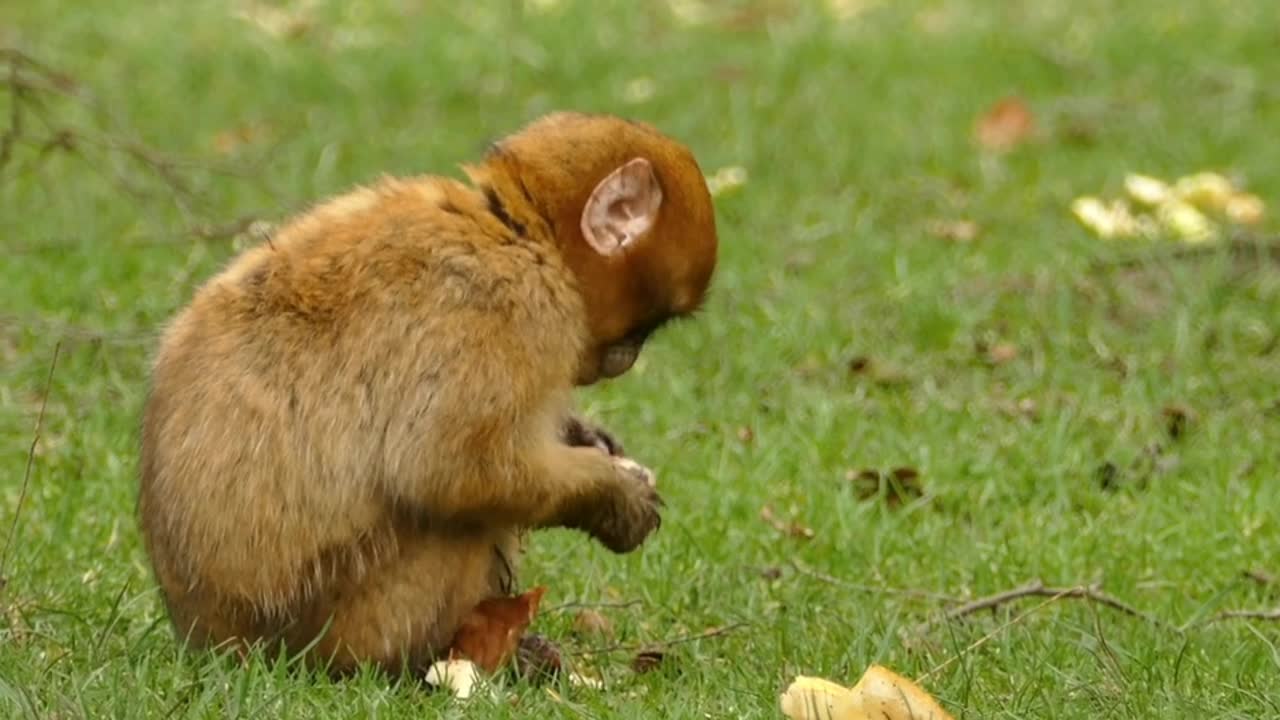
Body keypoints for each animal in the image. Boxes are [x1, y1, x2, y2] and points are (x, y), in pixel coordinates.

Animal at [140, 110, 721, 671]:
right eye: (645, 327)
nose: (628, 360)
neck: (520, 231)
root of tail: (212, 637)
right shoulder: (506, 307)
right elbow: (447, 470)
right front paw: (611, 496)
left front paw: (587, 438)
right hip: (344, 622)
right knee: (454, 520)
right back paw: (443, 656)